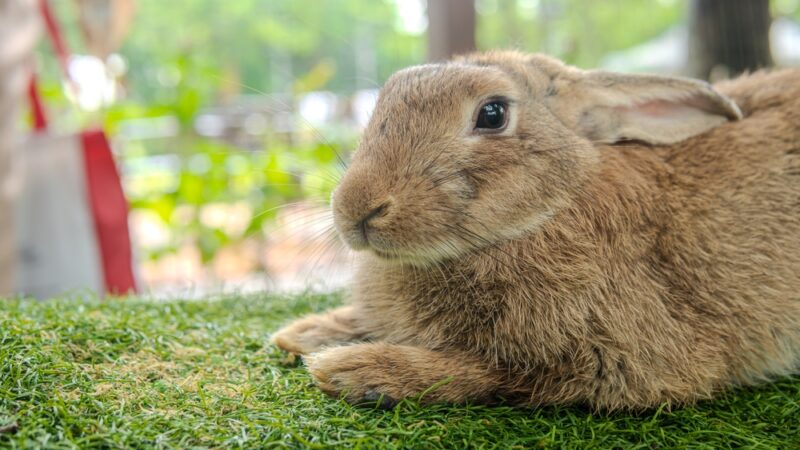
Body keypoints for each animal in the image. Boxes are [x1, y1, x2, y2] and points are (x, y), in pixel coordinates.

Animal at [272, 50, 800, 410]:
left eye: (493, 113)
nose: (356, 209)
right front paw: (306, 332)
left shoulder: (614, 361)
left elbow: (486, 374)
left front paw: (354, 369)